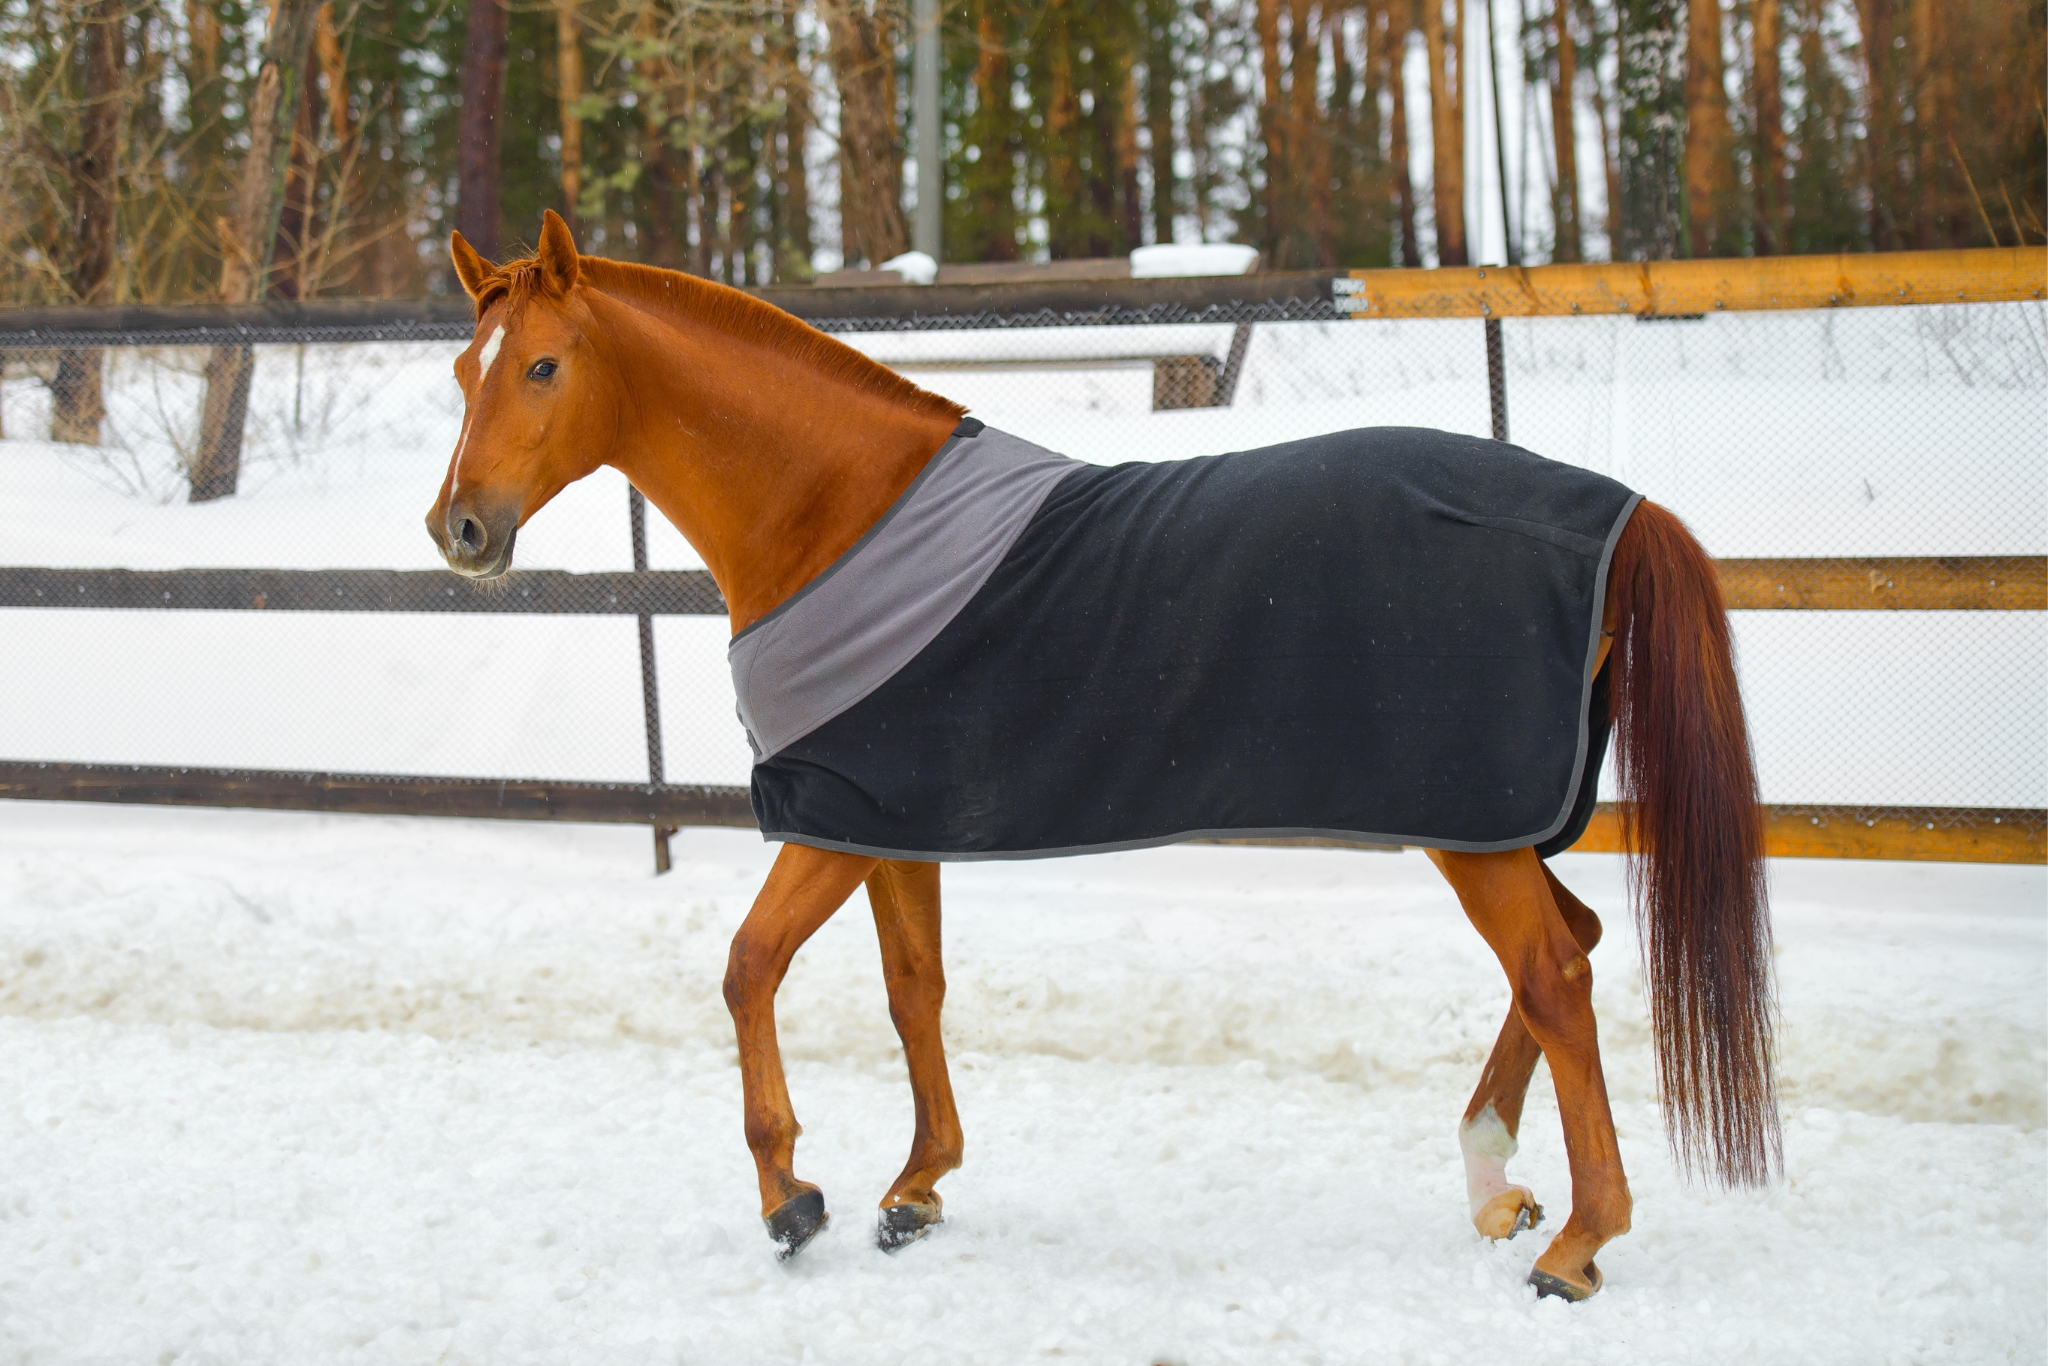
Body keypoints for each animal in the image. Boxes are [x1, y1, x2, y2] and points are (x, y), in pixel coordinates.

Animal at [426, 210, 1778, 1302]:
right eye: (461, 369)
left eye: (542, 365)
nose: (461, 530)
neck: (836, 517)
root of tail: (1609, 510)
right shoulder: (888, 819)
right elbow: (912, 989)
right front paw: (915, 1187)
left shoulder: (825, 815)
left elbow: (748, 967)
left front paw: (789, 1199)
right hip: (1486, 818)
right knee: (1569, 948)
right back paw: (1493, 1184)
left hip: (1468, 818)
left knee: (1554, 970)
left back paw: (1575, 1246)